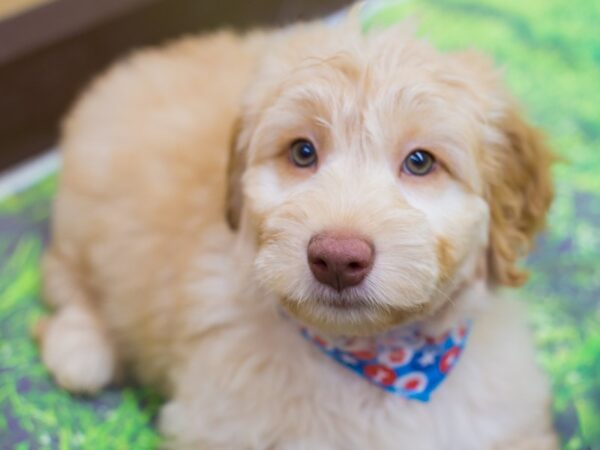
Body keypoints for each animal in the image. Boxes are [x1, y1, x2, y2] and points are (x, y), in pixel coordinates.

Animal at [39, 14, 560, 450]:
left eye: (420, 162)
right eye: (303, 152)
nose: (337, 258)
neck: (379, 360)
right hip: (85, 218)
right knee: (66, 277)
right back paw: (79, 349)